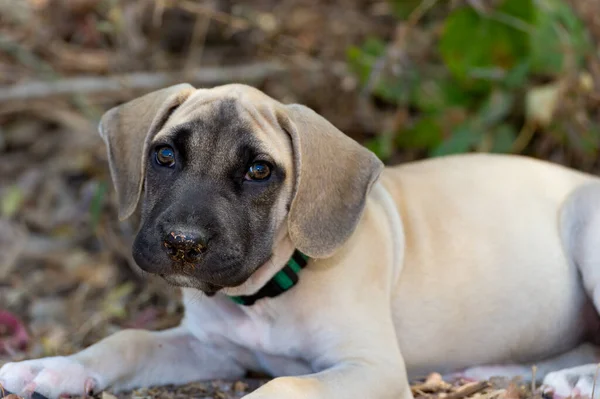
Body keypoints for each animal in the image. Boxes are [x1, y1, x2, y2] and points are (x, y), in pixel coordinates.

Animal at [1, 83, 600, 398]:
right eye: (165, 155)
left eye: (259, 171)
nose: (182, 243)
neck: (268, 295)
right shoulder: (208, 347)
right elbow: (128, 340)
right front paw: (55, 367)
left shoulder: (371, 369)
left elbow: (285, 386)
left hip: (586, 226)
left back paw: (575, 379)